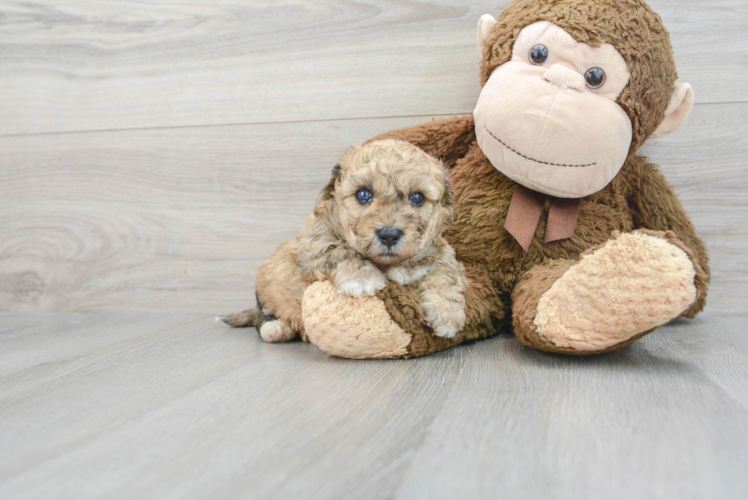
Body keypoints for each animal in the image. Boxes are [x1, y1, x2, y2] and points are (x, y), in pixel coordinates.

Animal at [224, 140, 468, 344]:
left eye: (417, 197)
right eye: (363, 194)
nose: (389, 235)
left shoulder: (441, 252)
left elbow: (445, 273)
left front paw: (447, 313)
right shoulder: (313, 246)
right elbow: (339, 250)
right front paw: (362, 277)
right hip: (267, 284)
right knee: (263, 315)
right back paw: (276, 328)